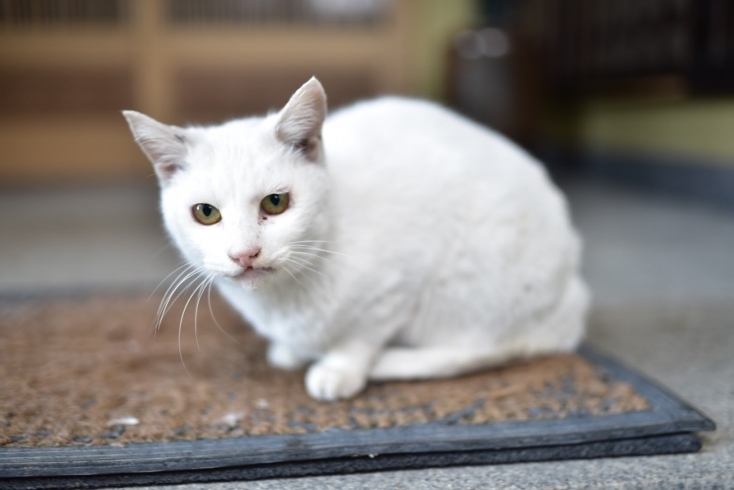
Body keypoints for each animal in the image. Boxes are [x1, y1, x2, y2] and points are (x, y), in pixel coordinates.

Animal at [123, 75, 588, 398]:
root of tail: (571, 295)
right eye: (206, 213)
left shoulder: (396, 287)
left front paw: (339, 369)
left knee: (481, 347)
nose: (244, 254)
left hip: (470, 277)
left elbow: (361, 337)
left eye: (275, 203)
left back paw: (392, 362)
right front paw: (291, 352)